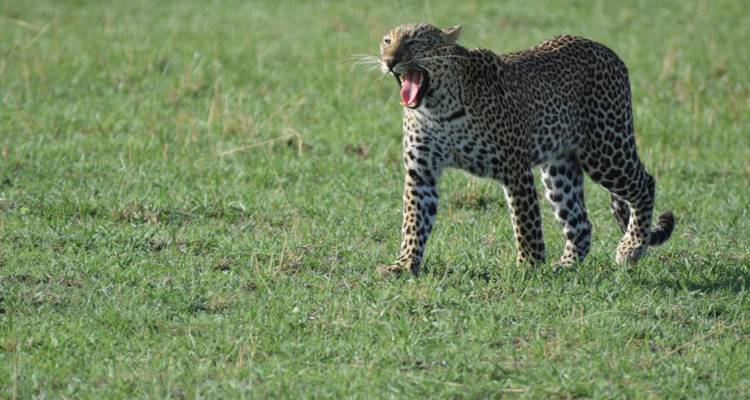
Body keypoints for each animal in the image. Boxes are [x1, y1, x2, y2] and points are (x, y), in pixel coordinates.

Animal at [374, 23, 675, 275]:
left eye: (413, 42)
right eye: (387, 41)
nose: (389, 61)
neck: (437, 107)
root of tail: (607, 51)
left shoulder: (514, 169)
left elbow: (525, 222)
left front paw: (528, 266)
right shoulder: (421, 172)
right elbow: (414, 221)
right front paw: (404, 264)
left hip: (606, 149)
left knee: (644, 184)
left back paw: (632, 247)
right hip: (559, 170)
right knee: (580, 223)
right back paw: (565, 267)